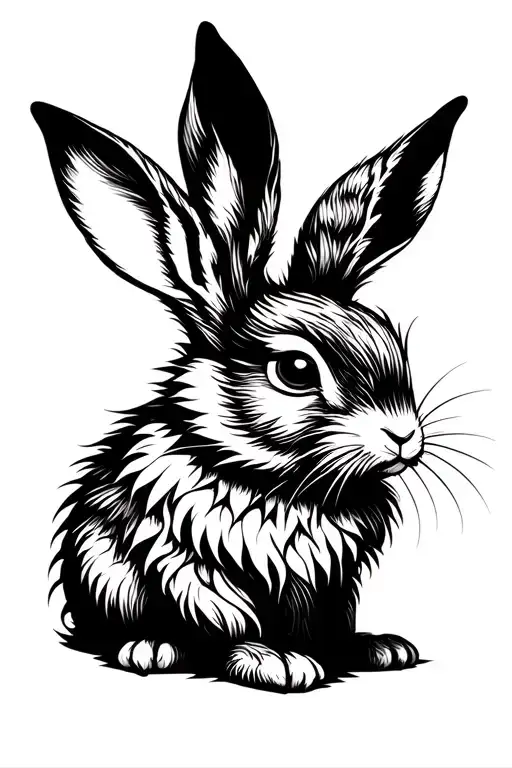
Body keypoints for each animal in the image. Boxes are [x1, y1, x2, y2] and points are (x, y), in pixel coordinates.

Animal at [32, 21, 467, 693]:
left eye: (393, 338)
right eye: (295, 370)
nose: (403, 438)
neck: (281, 484)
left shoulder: (326, 583)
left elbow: (324, 622)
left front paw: (367, 649)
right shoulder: (193, 568)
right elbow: (225, 624)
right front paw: (277, 663)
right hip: (104, 574)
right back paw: (149, 648)